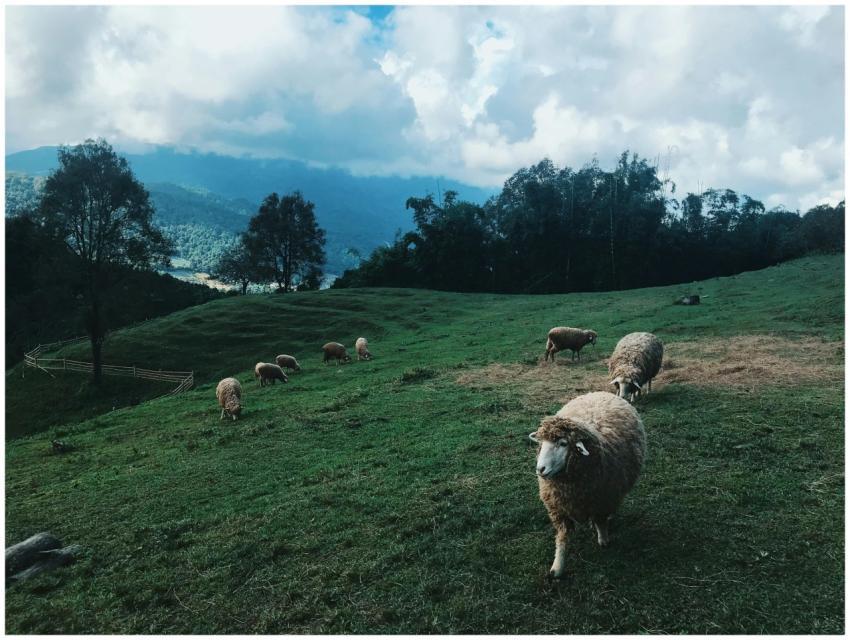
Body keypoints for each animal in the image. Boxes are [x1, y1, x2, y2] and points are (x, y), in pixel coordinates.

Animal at [528, 391, 646, 578]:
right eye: (542, 444)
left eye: (563, 443)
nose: (541, 469)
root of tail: (600, 392)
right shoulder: (559, 509)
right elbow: (562, 538)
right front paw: (557, 567)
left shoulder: (602, 501)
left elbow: (600, 521)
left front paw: (603, 540)